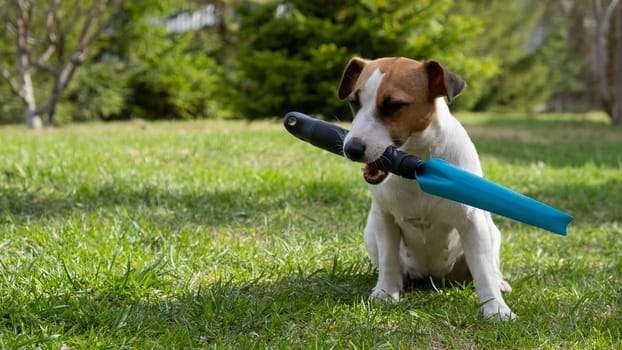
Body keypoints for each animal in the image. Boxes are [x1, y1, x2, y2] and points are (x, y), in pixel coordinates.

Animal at [336, 56, 516, 320]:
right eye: (353, 102)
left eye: (394, 105)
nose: (351, 149)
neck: (416, 164)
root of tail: (433, 276)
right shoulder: (384, 218)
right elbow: (389, 259)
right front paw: (386, 293)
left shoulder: (473, 222)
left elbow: (483, 270)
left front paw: (496, 308)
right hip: (371, 233)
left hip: (491, 233)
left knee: (489, 266)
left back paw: (499, 282)